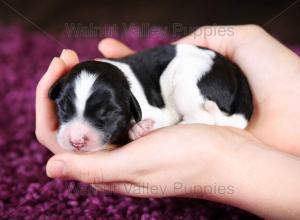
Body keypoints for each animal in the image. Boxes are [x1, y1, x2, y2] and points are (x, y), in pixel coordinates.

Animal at [49, 43, 253, 152]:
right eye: (63, 107)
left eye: (108, 113)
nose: (76, 141)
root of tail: (236, 71)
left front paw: (139, 129)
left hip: (185, 77)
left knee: (204, 117)